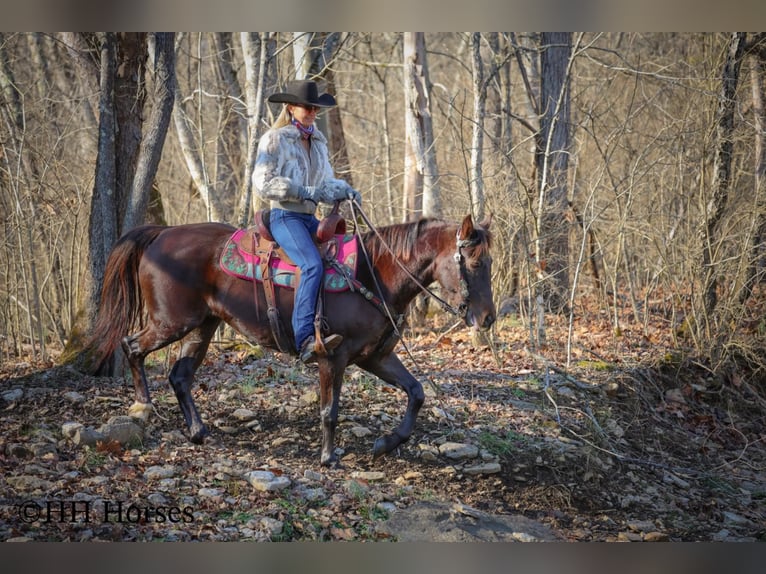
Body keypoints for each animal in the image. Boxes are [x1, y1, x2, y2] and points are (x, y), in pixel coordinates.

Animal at [87, 212, 495, 466]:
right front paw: (329, 457)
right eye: (475, 264)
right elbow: (330, 410)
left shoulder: (374, 356)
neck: (373, 273)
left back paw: (198, 431)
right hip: (171, 322)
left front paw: (385, 444)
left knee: (180, 375)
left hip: (202, 325)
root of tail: (162, 233)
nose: (488, 318)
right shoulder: (334, 357)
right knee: (132, 347)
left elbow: (416, 392)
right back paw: (142, 407)